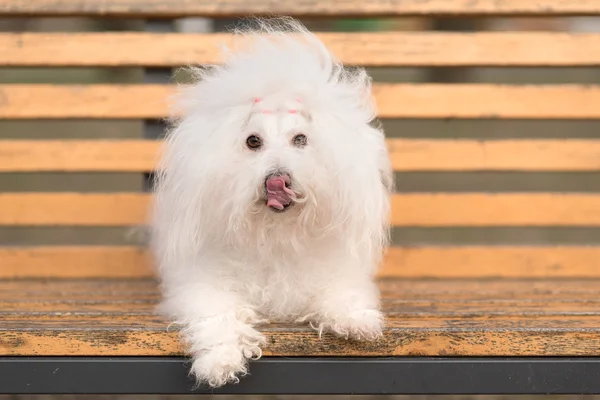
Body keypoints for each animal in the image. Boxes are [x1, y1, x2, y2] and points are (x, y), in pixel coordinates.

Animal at [150, 18, 394, 388]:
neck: (275, 235)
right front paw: (219, 364)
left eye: (300, 139)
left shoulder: (336, 273)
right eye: (253, 141)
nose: (277, 179)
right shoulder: (202, 284)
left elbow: (343, 295)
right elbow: (218, 318)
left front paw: (358, 322)